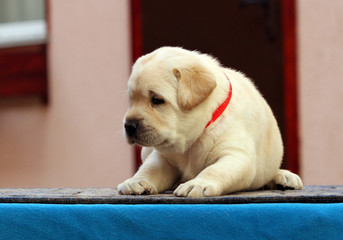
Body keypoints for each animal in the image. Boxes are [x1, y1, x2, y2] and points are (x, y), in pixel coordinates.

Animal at [119, 46, 304, 197]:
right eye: (131, 100)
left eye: (157, 100)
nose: (129, 126)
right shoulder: (163, 156)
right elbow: (150, 168)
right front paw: (136, 181)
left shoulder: (235, 155)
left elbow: (214, 171)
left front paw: (197, 184)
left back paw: (283, 176)